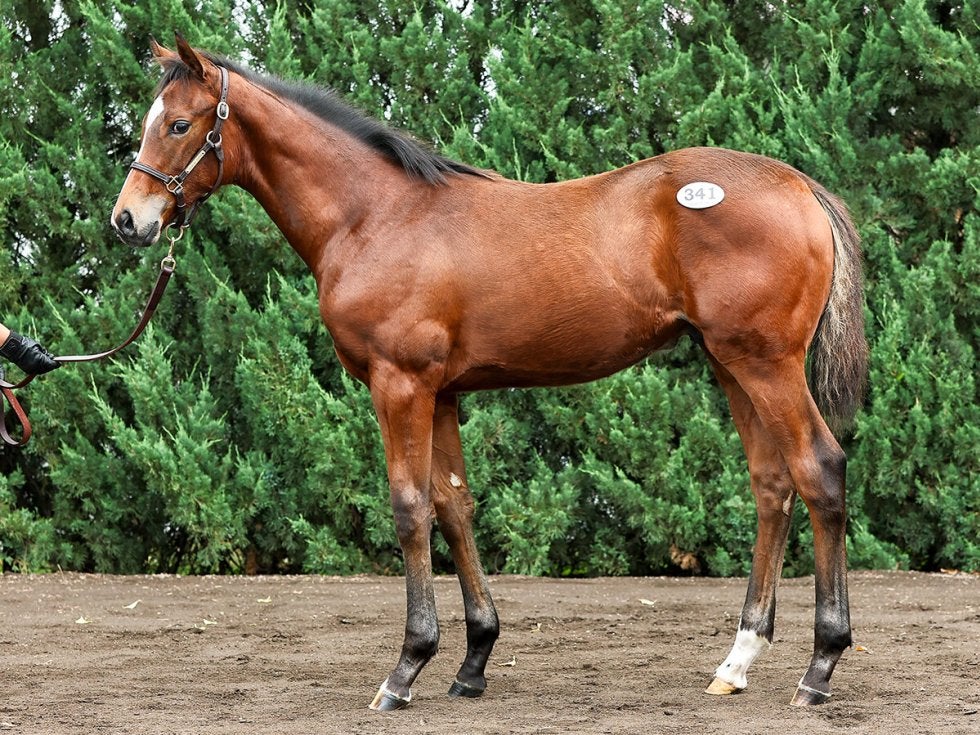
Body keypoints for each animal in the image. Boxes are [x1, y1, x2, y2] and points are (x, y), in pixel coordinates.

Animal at [111, 35, 867, 711]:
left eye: (179, 124)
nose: (128, 220)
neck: (375, 214)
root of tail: (799, 184)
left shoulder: (400, 385)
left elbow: (410, 508)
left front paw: (406, 668)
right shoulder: (441, 392)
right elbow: (454, 505)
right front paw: (473, 660)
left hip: (765, 363)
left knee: (819, 468)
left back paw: (820, 666)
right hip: (730, 363)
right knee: (772, 485)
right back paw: (736, 662)